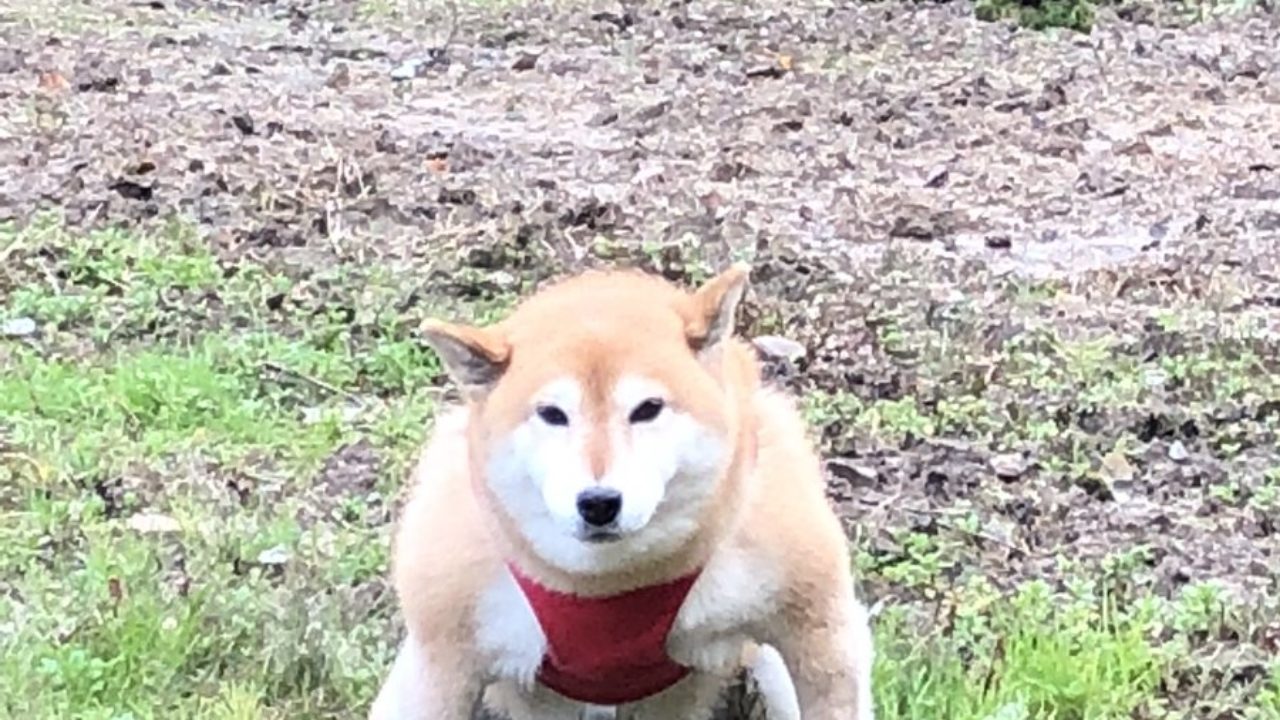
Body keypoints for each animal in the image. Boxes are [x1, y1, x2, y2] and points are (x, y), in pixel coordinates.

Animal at [366, 263, 875, 717]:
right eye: (552, 414)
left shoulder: (818, 632)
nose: (599, 503)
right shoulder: (443, 662)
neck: (607, 584)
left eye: (648, 408)